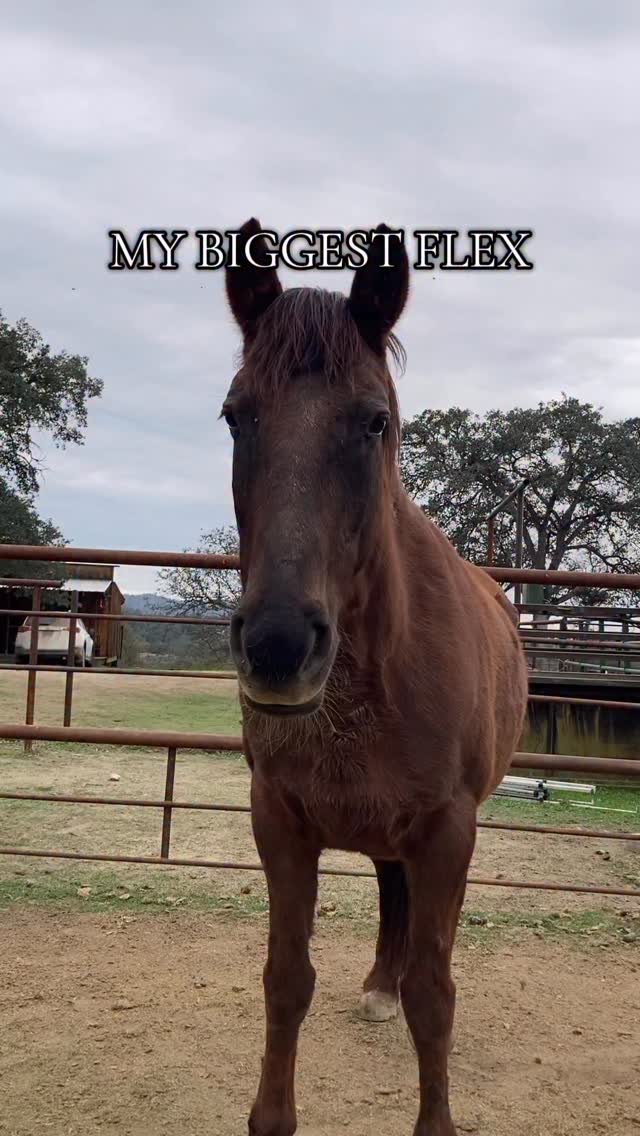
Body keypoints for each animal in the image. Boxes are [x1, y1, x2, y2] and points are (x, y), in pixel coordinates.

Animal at [221, 219, 528, 1136]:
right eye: (235, 416)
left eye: (374, 422)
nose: (279, 645)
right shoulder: (280, 821)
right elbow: (286, 981)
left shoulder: (448, 831)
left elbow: (436, 996)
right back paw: (378, 985)